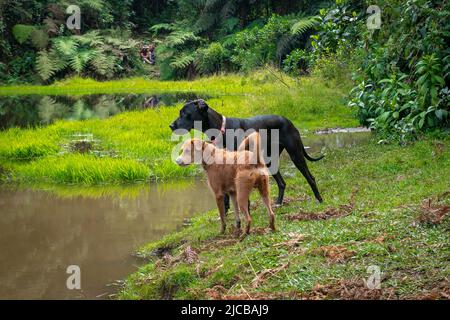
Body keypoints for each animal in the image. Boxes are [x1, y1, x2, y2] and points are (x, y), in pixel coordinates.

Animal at [170, 99, 324, 206]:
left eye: (185, 114)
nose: (171, 125)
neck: (221, 130)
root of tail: (288, 121)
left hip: (296, 155)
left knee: (310, 178)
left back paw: (319, 199)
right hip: (270, 160)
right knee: (282, 183)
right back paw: (279, 203)